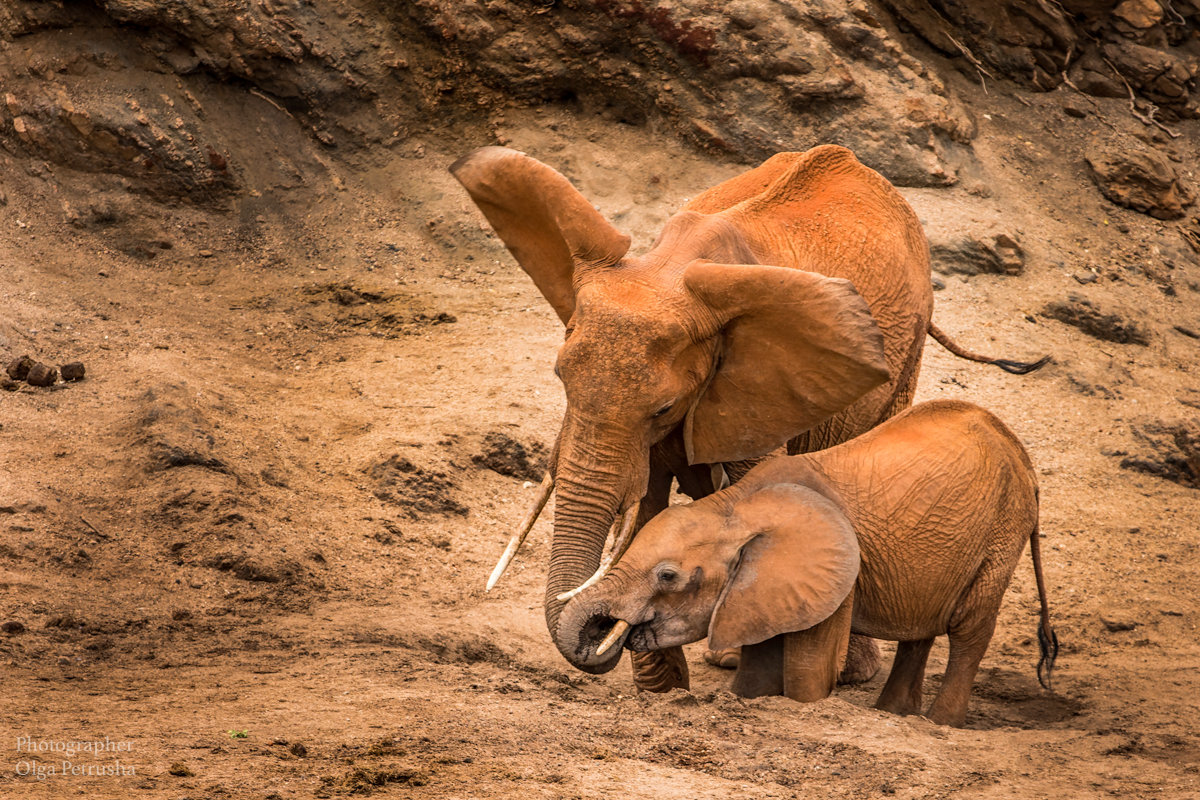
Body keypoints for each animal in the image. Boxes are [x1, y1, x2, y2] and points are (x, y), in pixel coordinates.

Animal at [451, 145, 1041, 695]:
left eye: (663, 408)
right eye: (560, 378)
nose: (597, 633)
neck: (669, 265)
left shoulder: (754, 386)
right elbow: (649, 508)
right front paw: (664, 692)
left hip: (906, 350)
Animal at [556, 400, 1056, 724]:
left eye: (667, 576)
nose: (602, 631)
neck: (739, 505)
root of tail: (1021, 456)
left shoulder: (837, 575)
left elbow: (808, 674)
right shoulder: (757, 587)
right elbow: (756, 672)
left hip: (1003, 530)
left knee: (969, 629)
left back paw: (939, 723)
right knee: (921, 629)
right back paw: (893, 715)